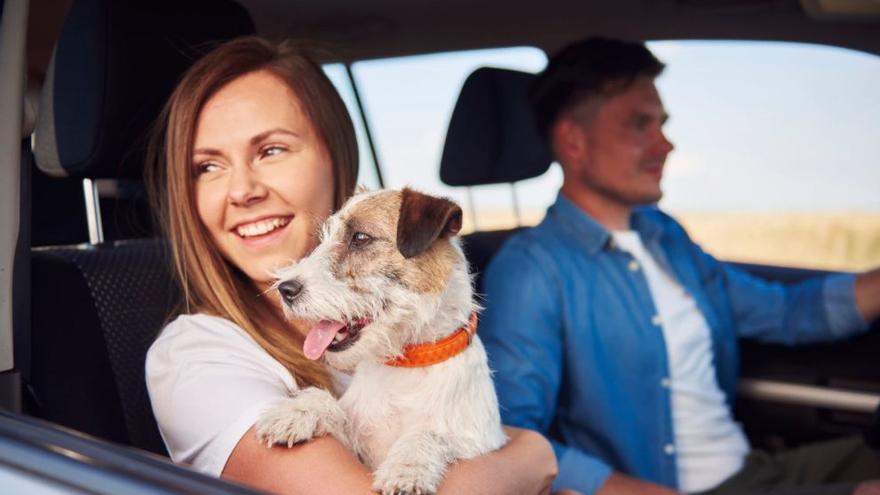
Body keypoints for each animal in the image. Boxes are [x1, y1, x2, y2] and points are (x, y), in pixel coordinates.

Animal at [254, 189, 506, 495]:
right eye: (323, 238)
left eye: (360, 238)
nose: (285, 289)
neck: (407, 365)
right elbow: (335, 408)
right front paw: (297, 411)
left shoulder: (480, 443)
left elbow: (432, 434)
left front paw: (406, 468)